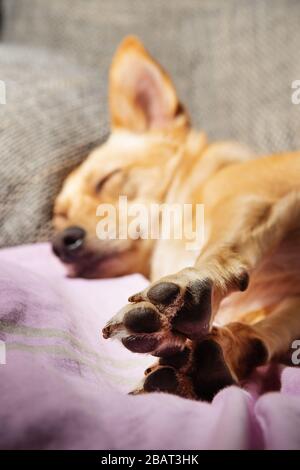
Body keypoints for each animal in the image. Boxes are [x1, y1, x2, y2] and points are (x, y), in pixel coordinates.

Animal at [52, 36, 300, 400]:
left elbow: (221, 253)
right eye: (59, 216)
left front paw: (184, 292)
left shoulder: (249, 199)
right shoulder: (286, 305)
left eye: (106, 180)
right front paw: (209, 356)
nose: (60, 242)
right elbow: (259, 337)